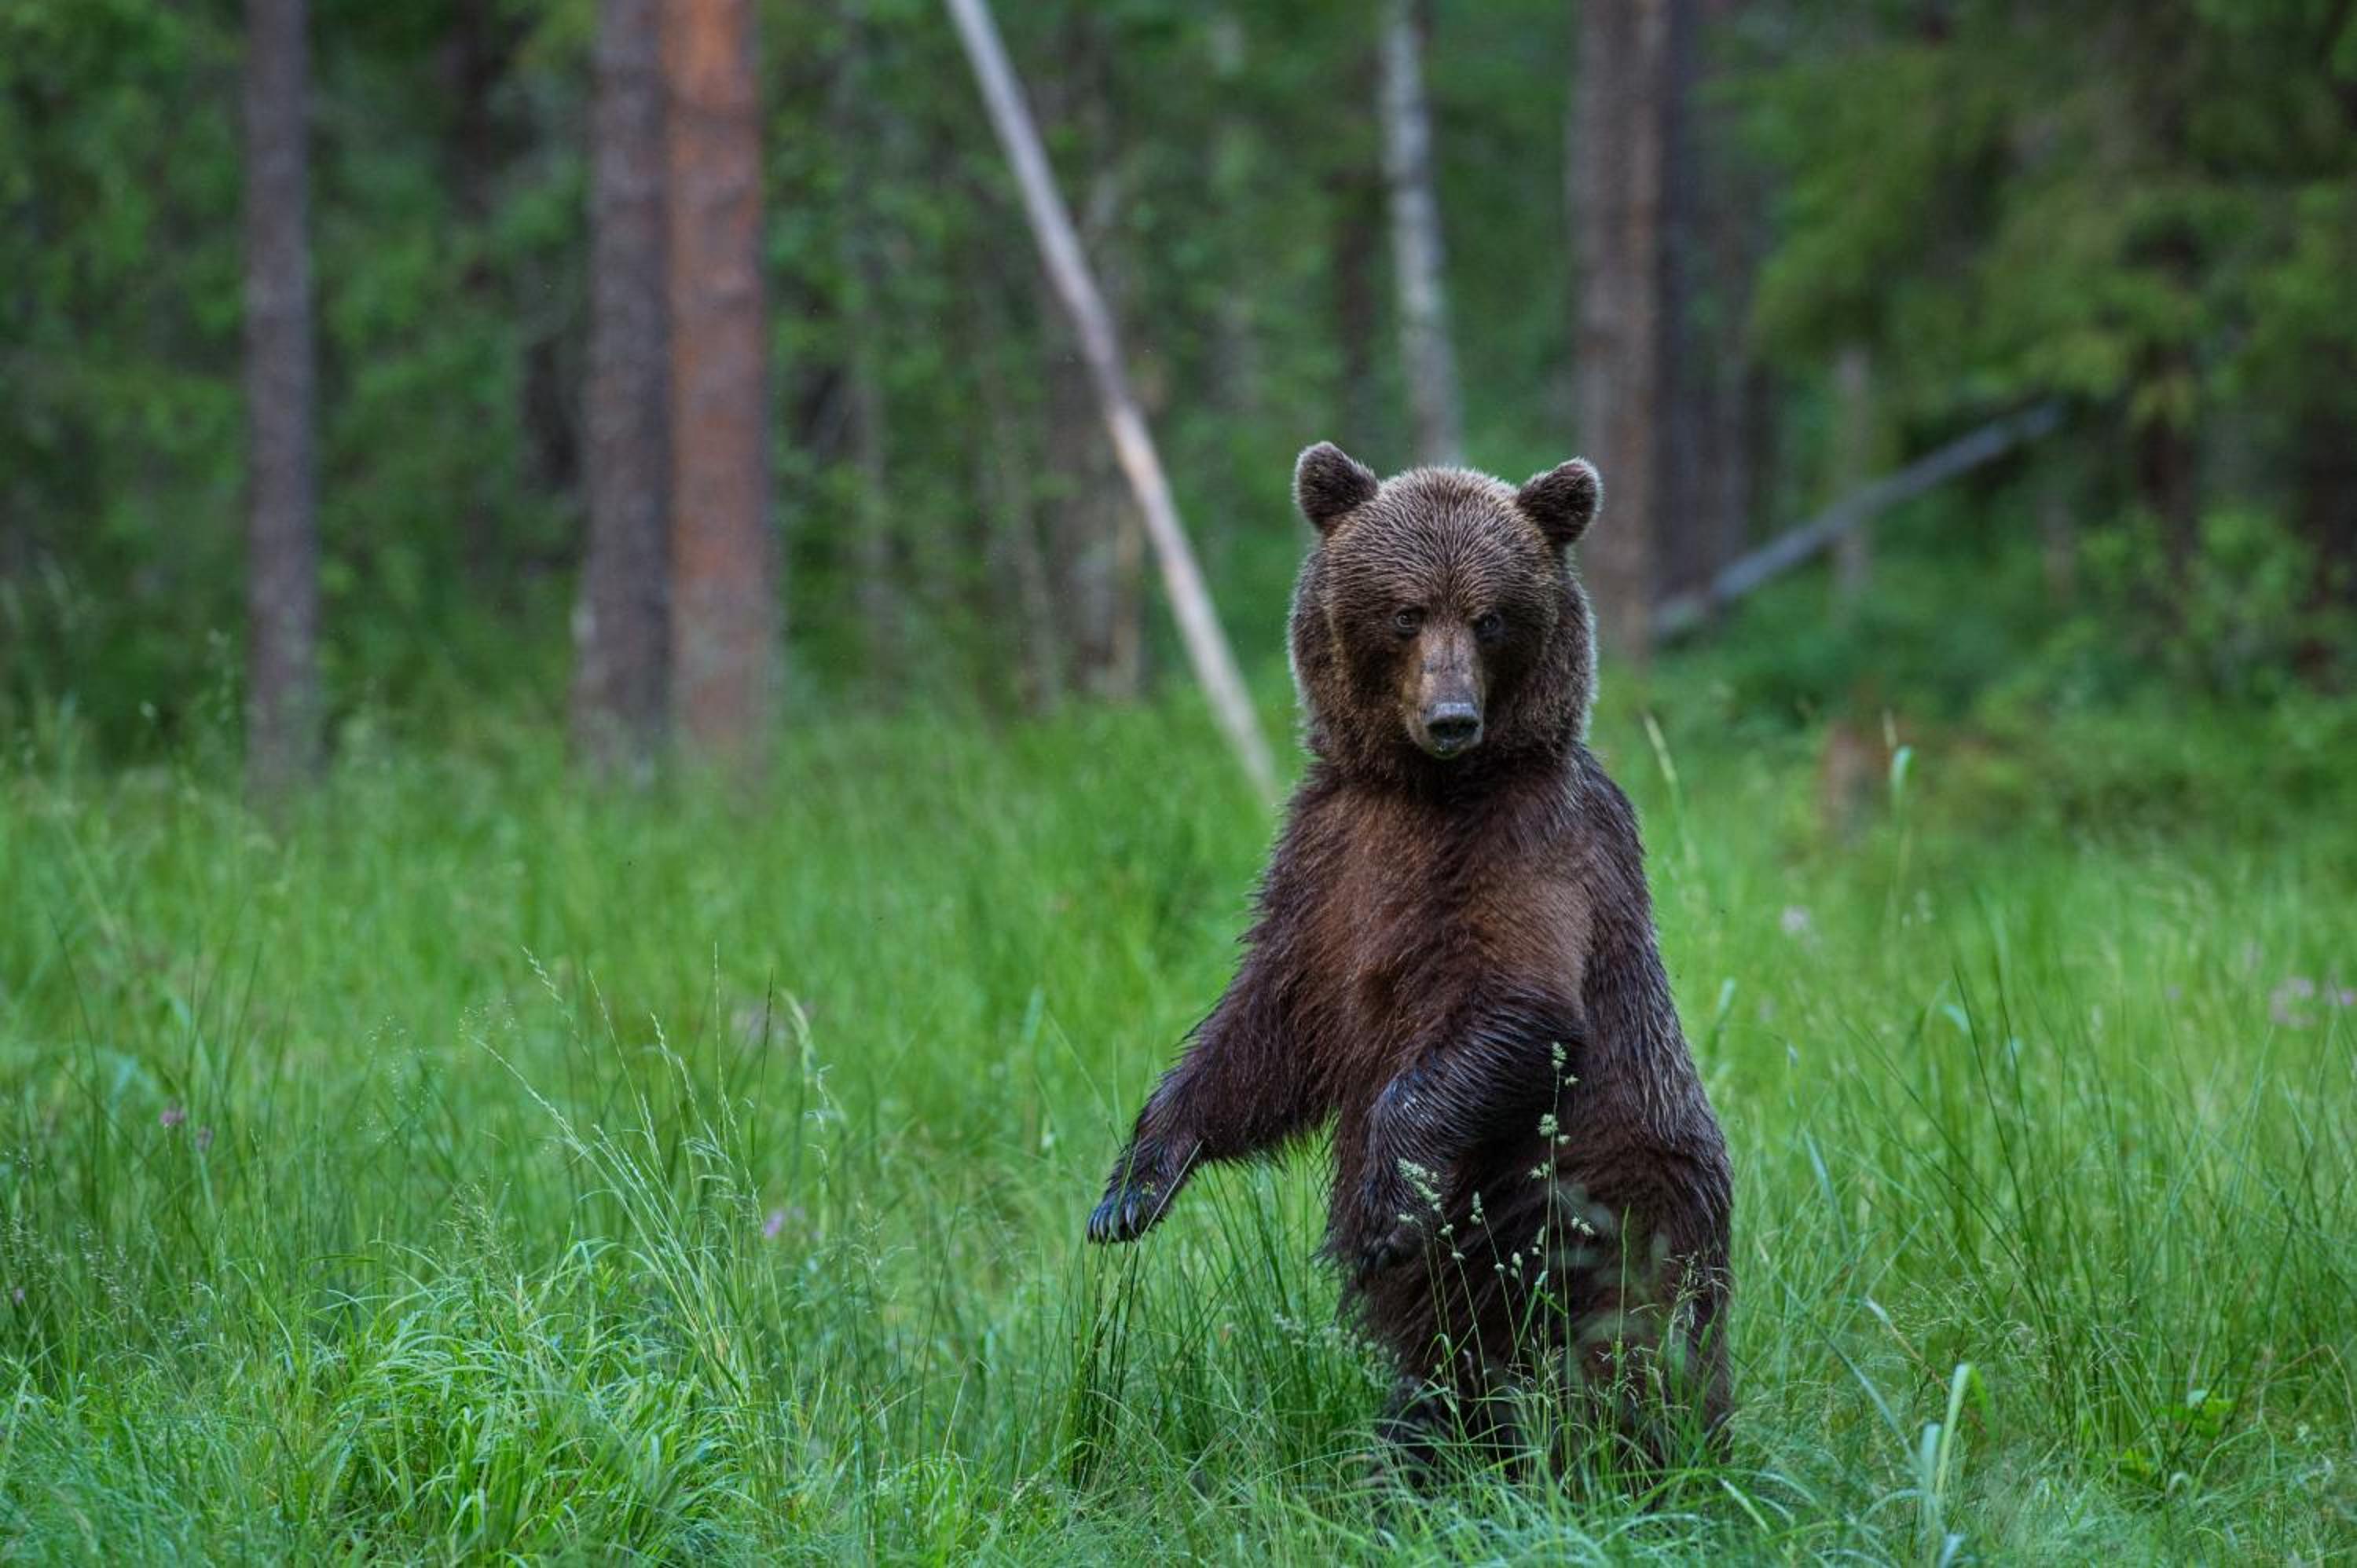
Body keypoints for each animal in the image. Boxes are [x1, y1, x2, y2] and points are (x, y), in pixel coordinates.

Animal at [1085, 441, 1733, 1477]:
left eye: (1491, 615)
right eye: (1404, 611)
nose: (1453, 716)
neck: (1426, 791)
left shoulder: (1532, 847)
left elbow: (1516, 1007)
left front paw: (1383, 1207)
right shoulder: (1329, 861)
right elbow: (1266, 1030)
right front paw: (1135, 1185)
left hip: (1610, 1203)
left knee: (1628, 1349)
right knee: (1443, 1375)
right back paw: (1414, 1461)